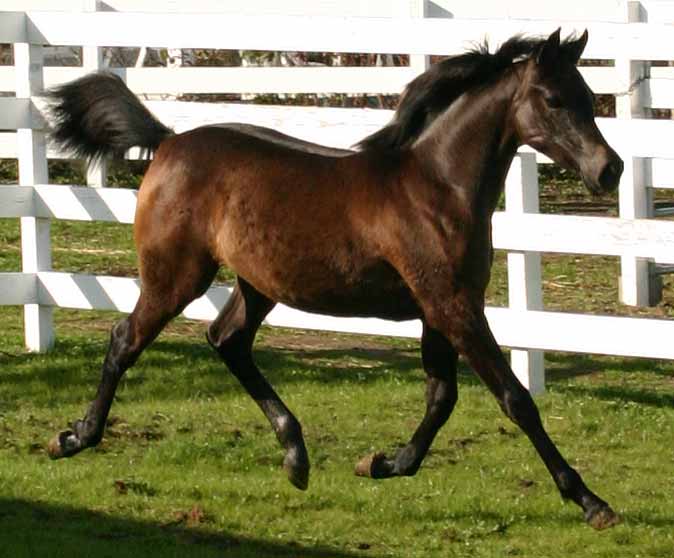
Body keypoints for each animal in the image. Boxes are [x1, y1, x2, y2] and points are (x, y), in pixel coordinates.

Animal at [46, 29, 624, 528]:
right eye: (552, 99)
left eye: (587, 95)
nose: (609, 170)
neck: (436, 189)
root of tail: (167, 143)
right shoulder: (454, 308)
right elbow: (515, 399)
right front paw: (591, 502)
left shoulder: (439, 309)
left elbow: (441, 398)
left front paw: (384, 463)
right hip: (177, 276)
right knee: (126, 339)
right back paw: (75, 438)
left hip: (258, 286)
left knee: (227, 340)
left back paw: (296, 456)